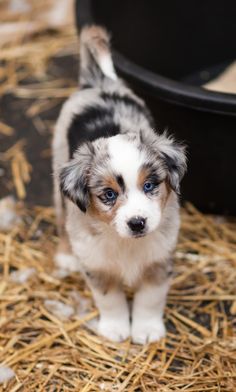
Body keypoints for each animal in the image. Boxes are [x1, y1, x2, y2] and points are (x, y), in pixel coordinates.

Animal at [52, 25, 187, 344]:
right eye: (109, 195)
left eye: (150, 185)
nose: (137, 223)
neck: (126, 243)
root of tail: (98, 83)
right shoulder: (97, 264)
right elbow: (109, 299)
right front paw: (115, 329)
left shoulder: (159, 260)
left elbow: (150, 299)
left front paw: (146, 331)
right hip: (57, 170)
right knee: (62, 219)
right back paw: (65, 257)